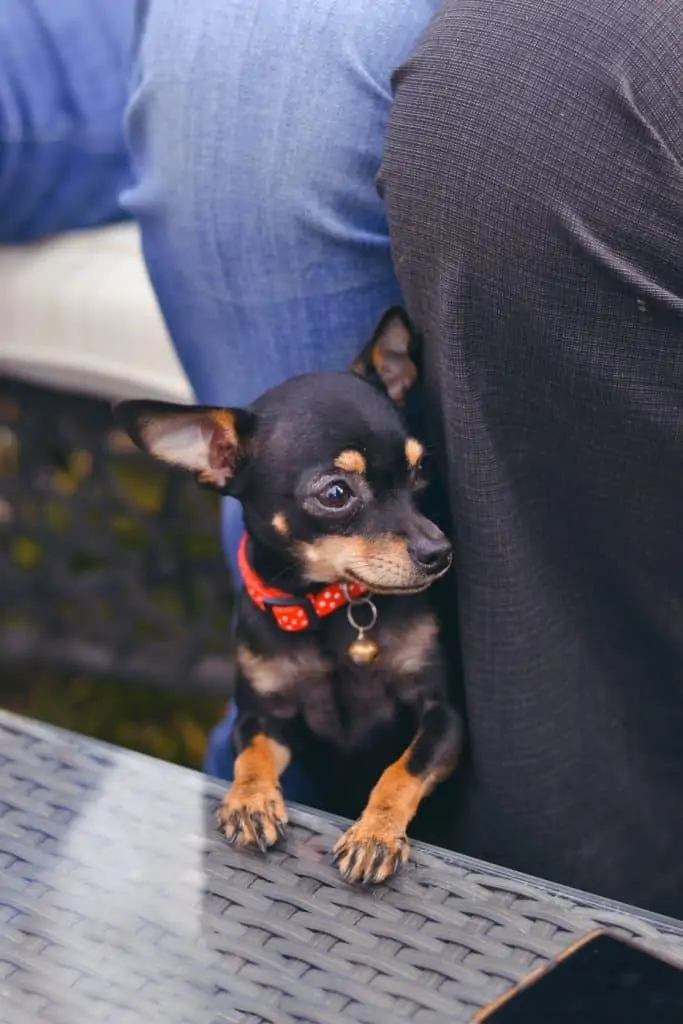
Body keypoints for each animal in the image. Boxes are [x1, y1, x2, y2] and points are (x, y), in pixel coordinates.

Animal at [117, 307, 462, 884]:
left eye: (420, 471)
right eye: (336, 494)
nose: (440, 551)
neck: (330, 611)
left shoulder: (443, 716)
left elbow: (400, 769)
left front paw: (375, 833)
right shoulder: (262, 718)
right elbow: (251, 755)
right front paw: (250, 802)